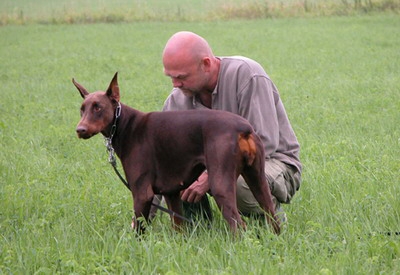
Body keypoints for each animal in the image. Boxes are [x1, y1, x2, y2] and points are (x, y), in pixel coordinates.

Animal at [73, 72, 280, 234]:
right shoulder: (171, 193)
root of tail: (244, 128)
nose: (80, 130)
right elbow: (178, 227)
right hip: (257, 178)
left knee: (239, 225)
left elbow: (139, 230)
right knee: (272, 215)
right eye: (82, 109)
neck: (125, 125)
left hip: (221, 184)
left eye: (98, 107)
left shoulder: (141, 192)